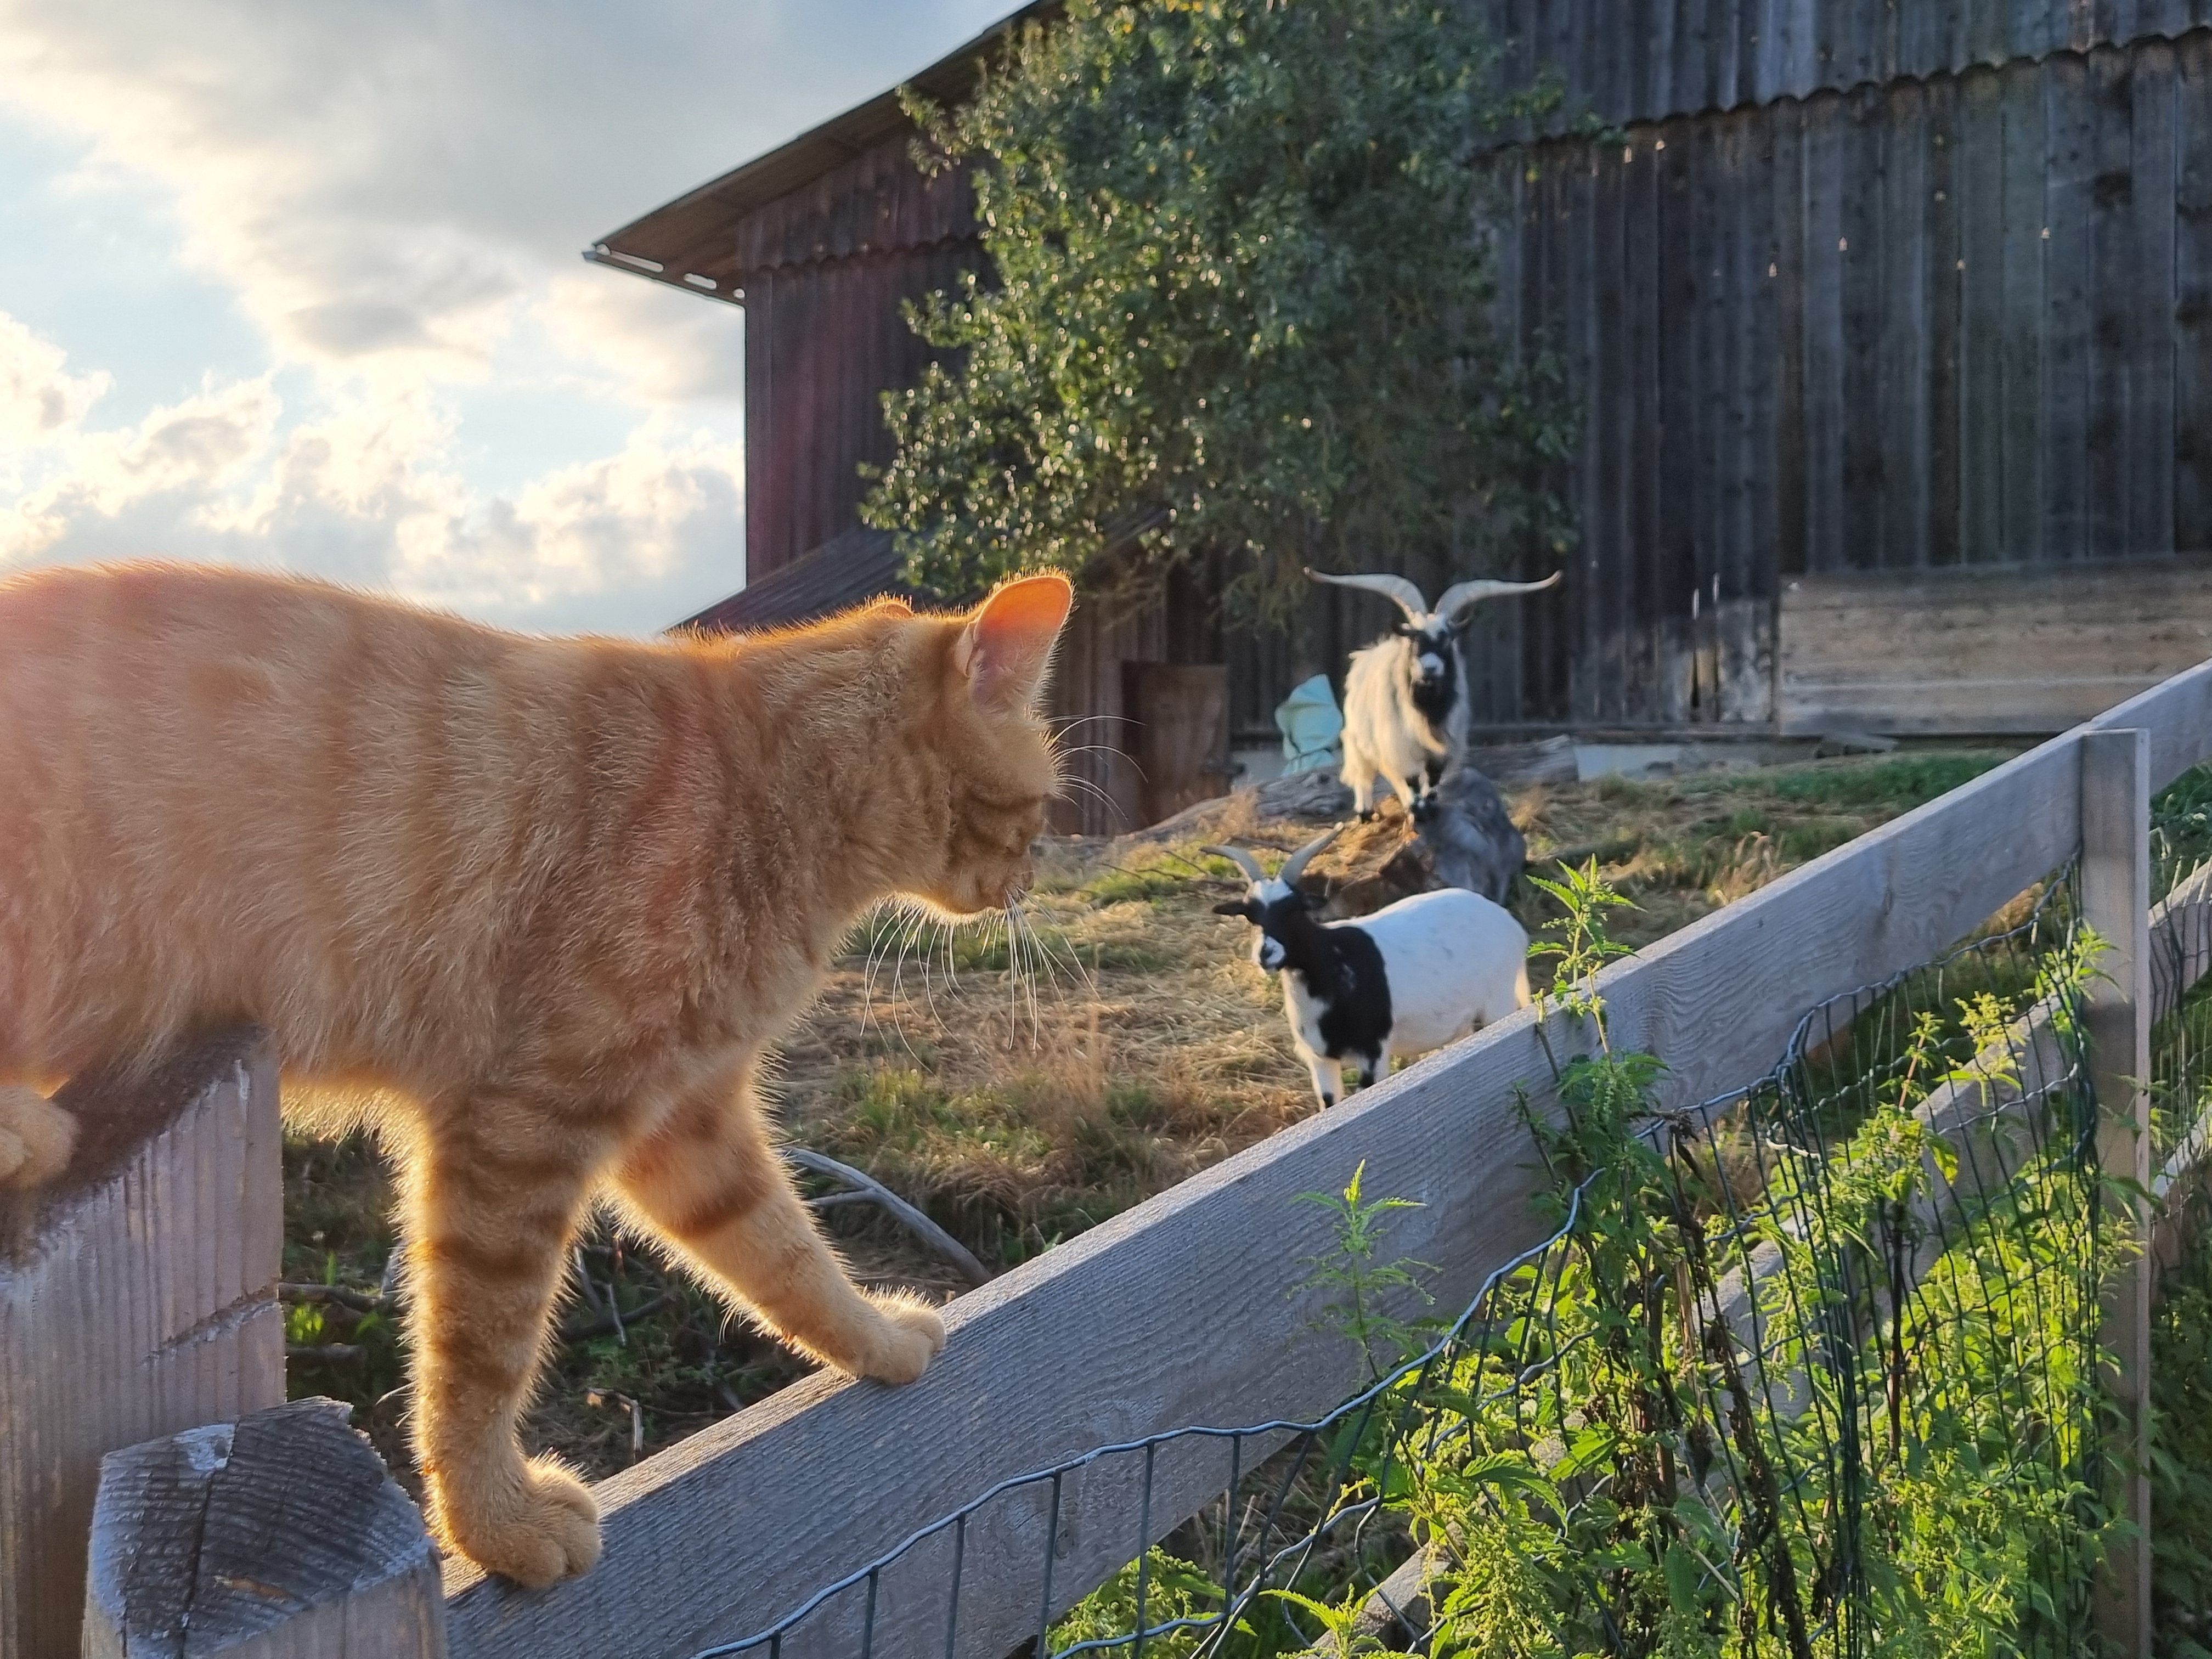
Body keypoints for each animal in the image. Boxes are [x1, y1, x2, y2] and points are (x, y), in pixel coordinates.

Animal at [1208, 828, 1531, 1108]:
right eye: (1251, 915)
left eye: (1294, 910)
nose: (1266, 954)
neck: (1333, 967)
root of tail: (1511, 925)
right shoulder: (1320, 1060)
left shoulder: (1372, 1053)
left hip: (1497, 1003)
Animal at [1306, 567, 1561, 819]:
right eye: (1414, 639)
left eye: (1447, 639)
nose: (1430, 668)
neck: (1427, 714)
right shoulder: (1401, 747)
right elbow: (1410, 781)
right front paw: (1416, 809)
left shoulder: (1443, 751)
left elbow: (1432, 779)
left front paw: (1429, 804)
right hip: (1359, 740)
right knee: (1365, 774)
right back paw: (1366, 810)